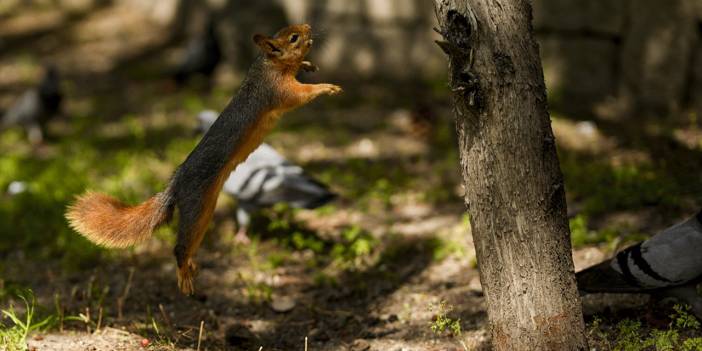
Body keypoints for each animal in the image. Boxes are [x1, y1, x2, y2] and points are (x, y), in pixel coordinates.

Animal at [66, 23, 344, 296]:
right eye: (294, 37)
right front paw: (326, 87)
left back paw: (191, 265)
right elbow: (300, 94)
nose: (308, 27)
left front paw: (308, 65)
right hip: (196, 207)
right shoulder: (278, 91)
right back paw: (183, 275)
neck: (268, 64)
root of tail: (175, 184)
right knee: (180, 246)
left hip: (205, 210)